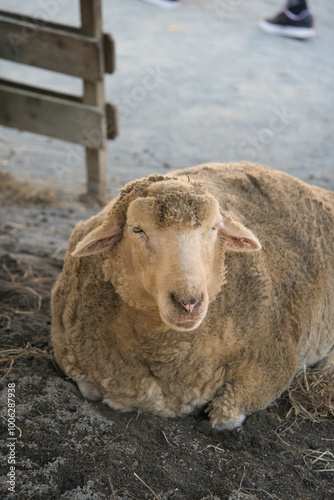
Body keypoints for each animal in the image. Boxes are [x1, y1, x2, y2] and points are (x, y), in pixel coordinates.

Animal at [50, 162, 334, 428]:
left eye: (214, 228)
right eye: (137, 229)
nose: (188, 302)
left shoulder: (274, 361)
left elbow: (225, 415)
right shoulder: (76, 361)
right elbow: (91, 389)